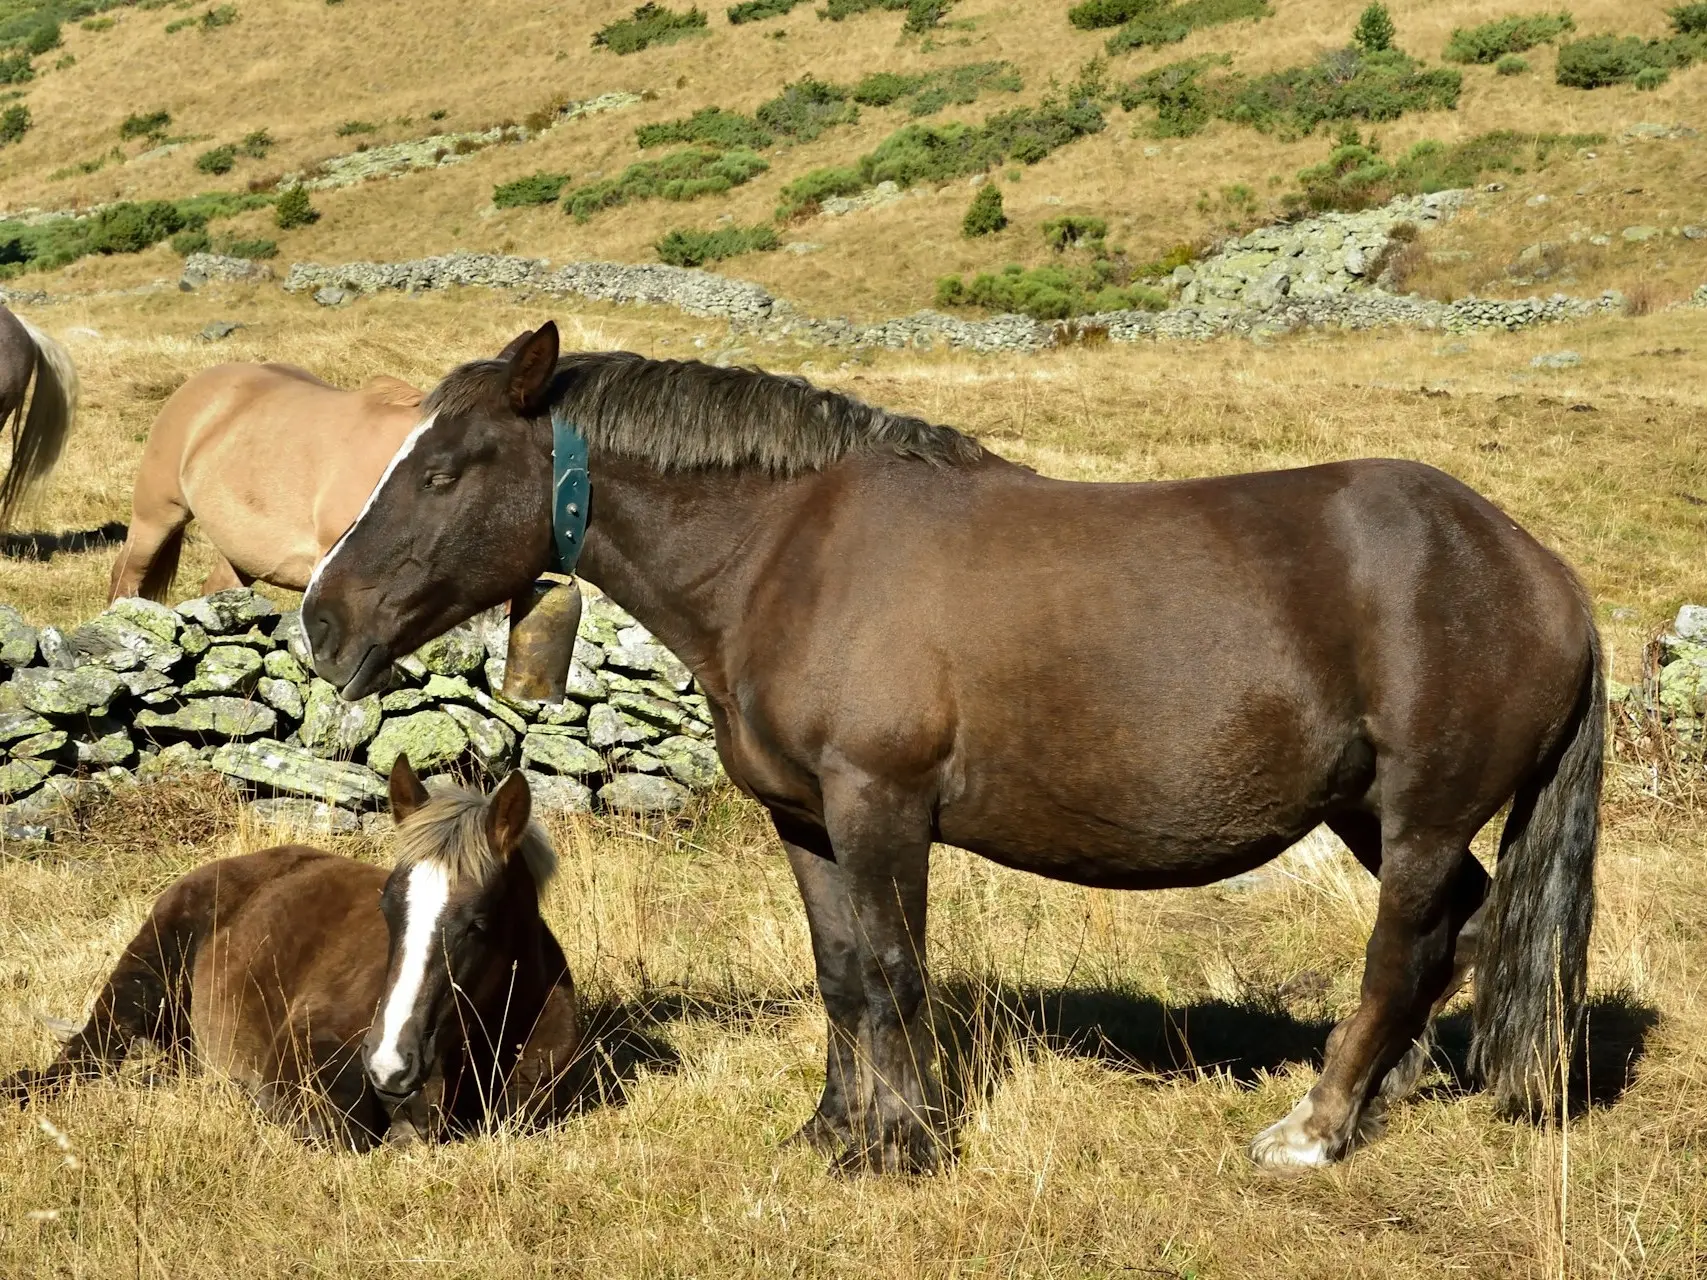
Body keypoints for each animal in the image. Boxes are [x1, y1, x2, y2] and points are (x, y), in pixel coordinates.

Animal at [1, 757, 580, 1160]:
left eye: (477, 923)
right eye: (387, 908)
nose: (390, 1064)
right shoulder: (299, 1065)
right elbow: (347, 1133)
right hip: (139, 985)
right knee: (80, 1058)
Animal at [303, 325, 1597, 1181]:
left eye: (441, 471)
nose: (321, 619)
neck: (787, 552)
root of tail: (1537, 569)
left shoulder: (882, 808)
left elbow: (891, 970)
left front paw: (907, 1141)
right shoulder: (809, 819)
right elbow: (839, 972)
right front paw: (834, 1130)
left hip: (1419, 815)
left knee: (1403, 943)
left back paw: (1319, 1122)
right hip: (1365, 809)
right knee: (1460, 925)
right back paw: (1396, 1085)